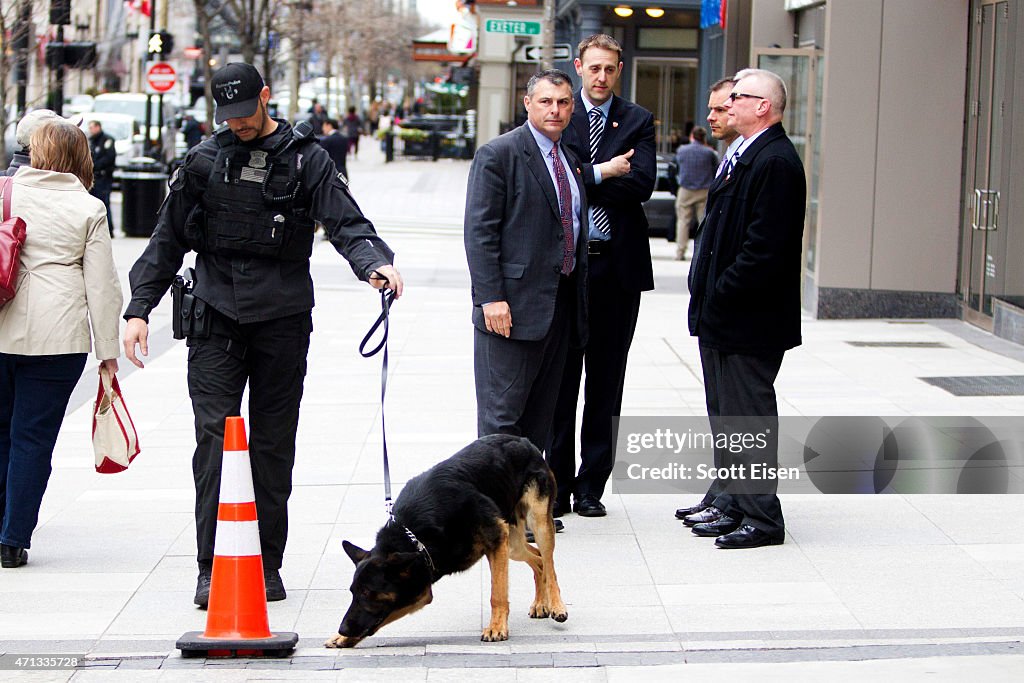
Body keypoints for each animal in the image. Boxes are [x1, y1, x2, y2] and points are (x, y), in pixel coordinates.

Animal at [323, 436, 569, 651]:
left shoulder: (496, 538)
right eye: (352, 592)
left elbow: (497, 594)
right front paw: (343, 638)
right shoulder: (422, 587)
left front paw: (497, 627)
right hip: (512, 546)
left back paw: (556, 605)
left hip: (536, 524)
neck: (415, 537)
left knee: (550, 565)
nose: (342, 628)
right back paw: (541, 603)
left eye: (367, 592)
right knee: (538, 559)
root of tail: (523, 441)